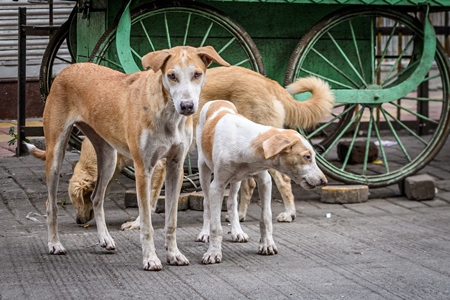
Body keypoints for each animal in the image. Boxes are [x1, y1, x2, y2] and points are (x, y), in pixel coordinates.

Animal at [197, 99, 326, 264]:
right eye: (307, 157)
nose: (324, 181)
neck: (246, 145)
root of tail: (217, 101)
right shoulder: (217, 186)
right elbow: (216, 225)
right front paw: (213, 253)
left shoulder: (265, 181)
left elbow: (266, 217)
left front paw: (267, 245)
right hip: (203, 169)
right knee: (206, 202)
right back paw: (205, 233)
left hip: (236, 180)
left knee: (232, 203)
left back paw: (237, 232)